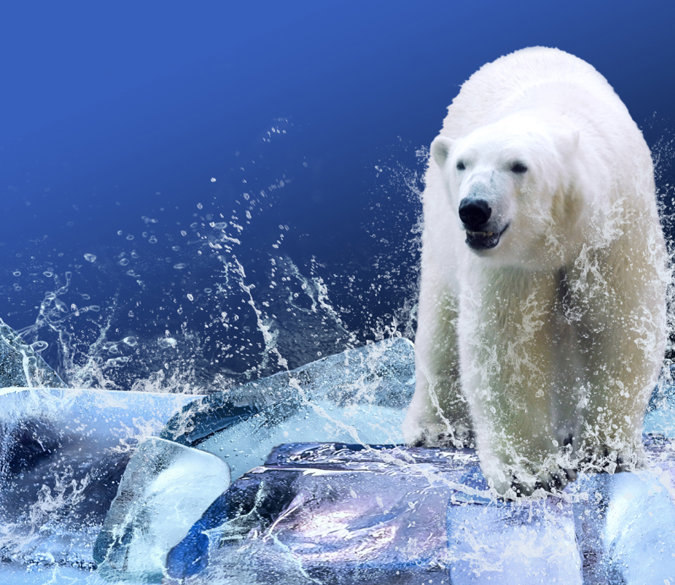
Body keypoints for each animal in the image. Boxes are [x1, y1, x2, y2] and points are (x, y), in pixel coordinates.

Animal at [402, 47, 668, 497]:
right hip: (440, 234)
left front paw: (606, 452)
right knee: (441, 326)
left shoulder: (614, 230)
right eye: (462, 164)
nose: (475, 209)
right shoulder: (511, 263)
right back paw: (437, 427)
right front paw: (531, 473)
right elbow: (507, 345)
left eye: (518, 166)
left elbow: (621, 326)